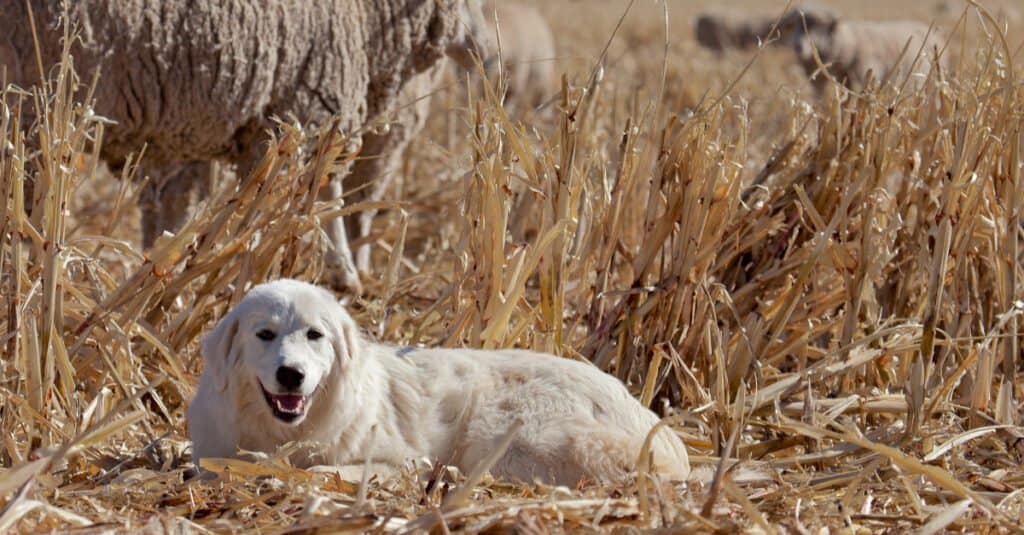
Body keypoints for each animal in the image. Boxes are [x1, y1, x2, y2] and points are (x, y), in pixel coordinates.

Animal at [2, 0, 491, 291]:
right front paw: (342, 276)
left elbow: (171, 213)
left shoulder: (181, 133)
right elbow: (321, 197)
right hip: (33, 112)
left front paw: (161, 278)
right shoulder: (306, 105)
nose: (484, 54)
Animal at [188, 278, 692, 483]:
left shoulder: (402, 457)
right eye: (265, 334)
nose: (291, 374)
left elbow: (320, 470)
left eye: (315, 335)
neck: (284, 433)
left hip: (510, 437)